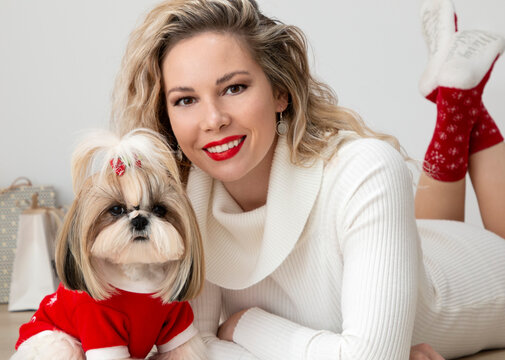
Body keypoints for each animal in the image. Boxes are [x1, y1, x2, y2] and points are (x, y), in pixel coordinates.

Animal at [11, 129, 206, 360]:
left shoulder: (177, 320)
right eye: (116, 209)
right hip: (58, 341)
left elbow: (182, 349)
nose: (139, 220)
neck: (138, 276)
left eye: (160, 209)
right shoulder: (96, 323)